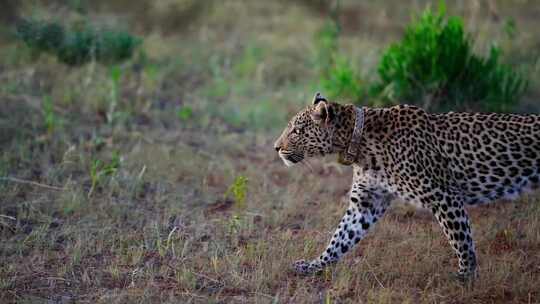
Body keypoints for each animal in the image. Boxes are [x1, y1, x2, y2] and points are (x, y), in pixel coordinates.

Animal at [274, 91, 540, 282]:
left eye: (296, 131)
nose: (276, 147)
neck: (358, 143)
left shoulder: (444, 196)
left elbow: (461, 239)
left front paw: (466, 277)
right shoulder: (366, 203)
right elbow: (341, 237)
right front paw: (313, 265)